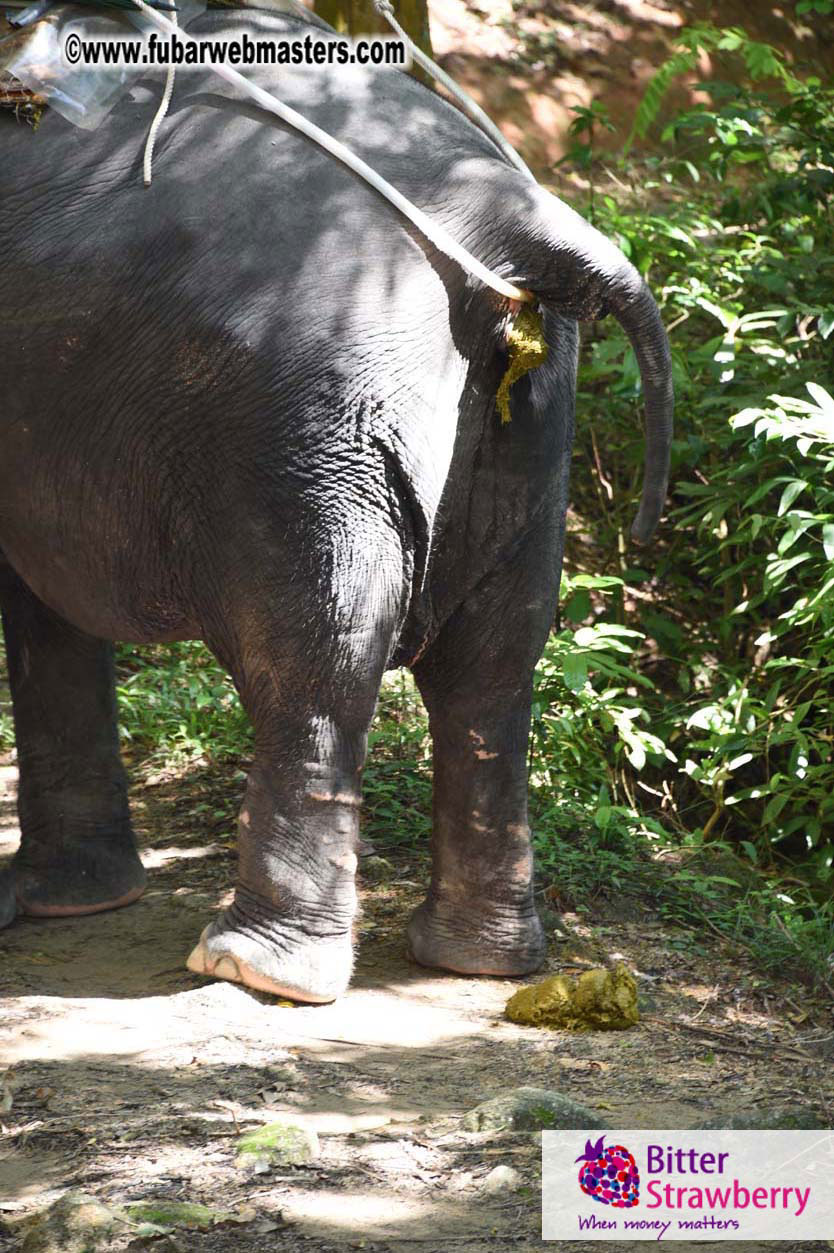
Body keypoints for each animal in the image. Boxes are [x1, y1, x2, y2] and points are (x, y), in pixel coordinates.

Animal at [0, 5, 672, 1002]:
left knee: (315, 659)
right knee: (495, 665)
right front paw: (71, 902)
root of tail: (508, 220)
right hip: (530, 408)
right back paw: (477, 957)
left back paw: (256, 966)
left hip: (303, 420)